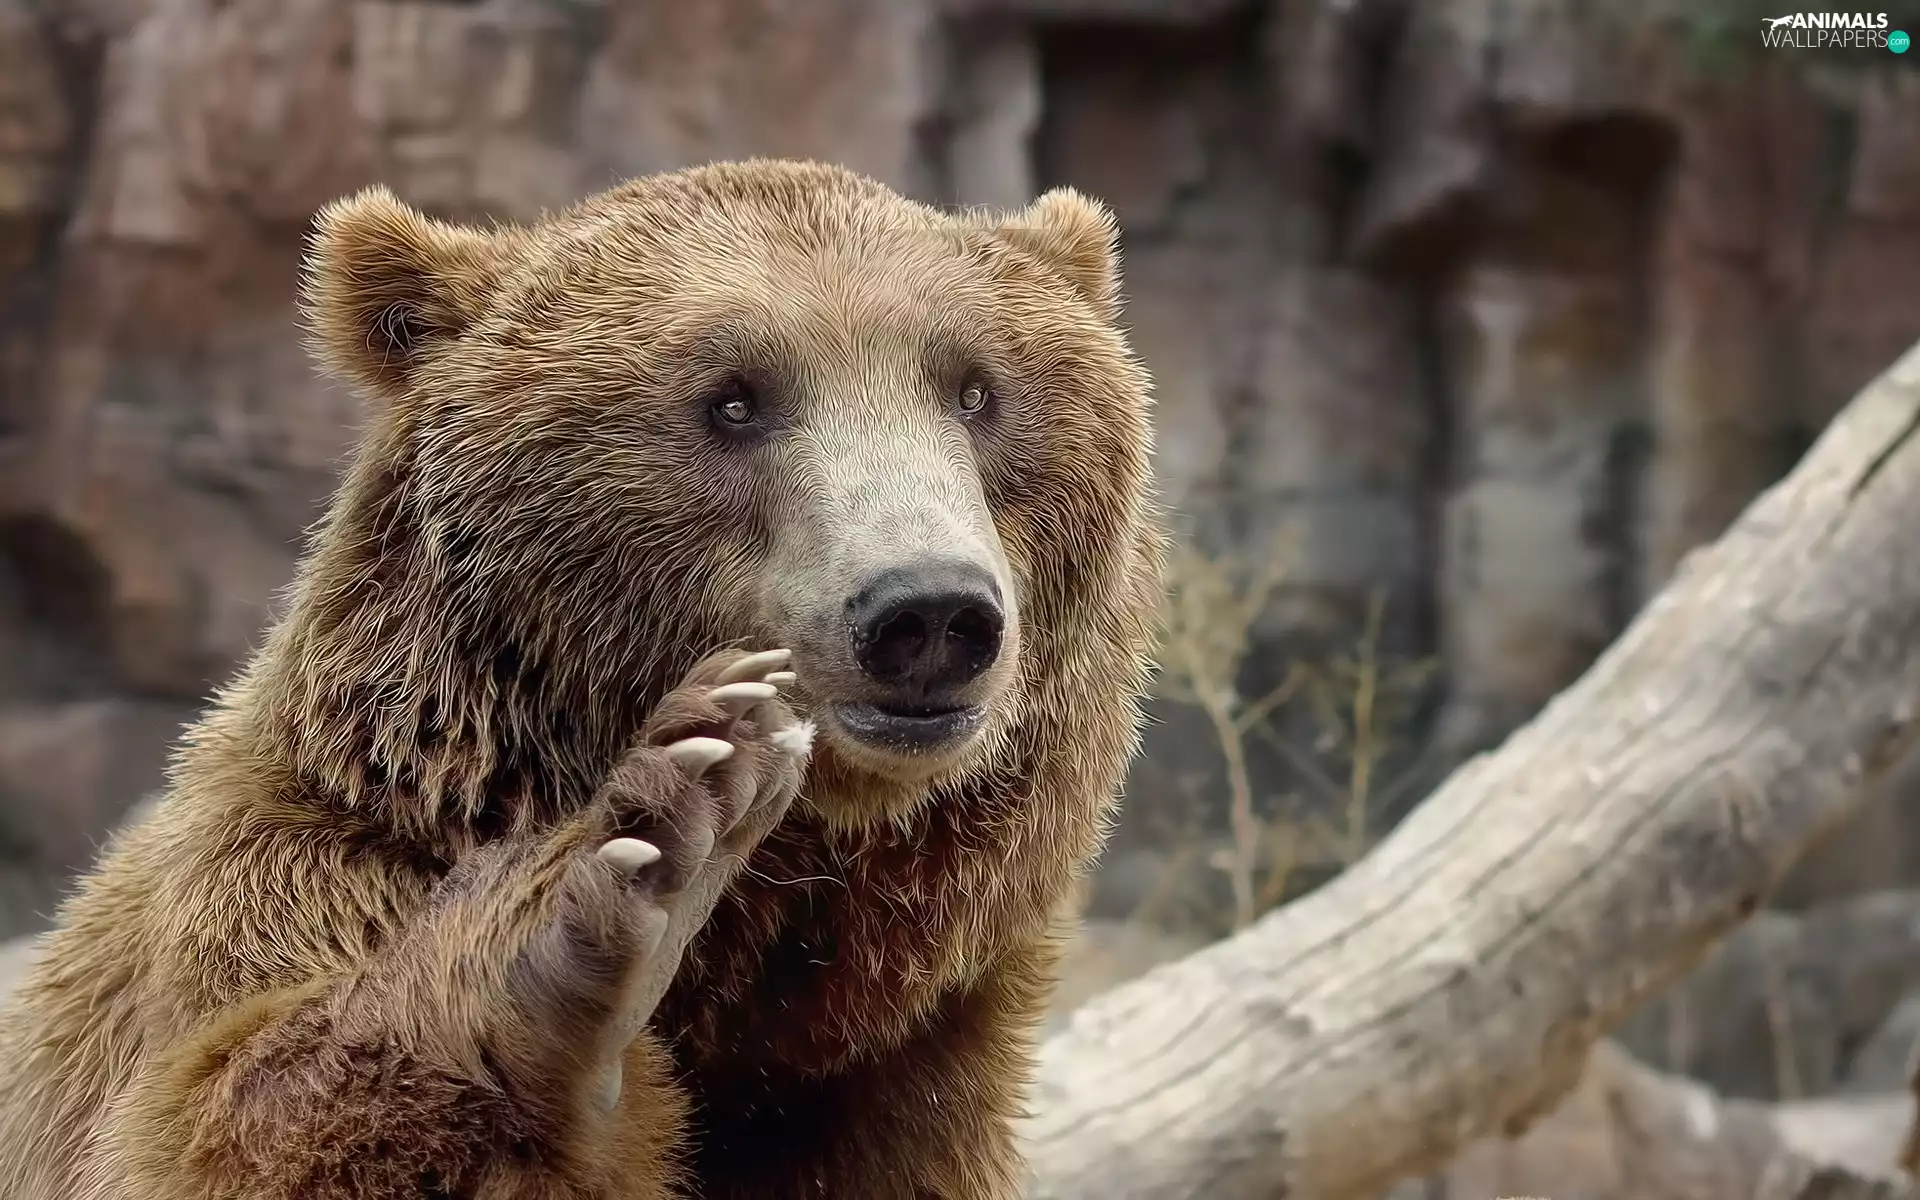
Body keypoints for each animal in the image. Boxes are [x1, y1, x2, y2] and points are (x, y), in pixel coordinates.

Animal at [0, 158, 1165, 1199]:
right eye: (732, 401)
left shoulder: (912, 1065)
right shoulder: (288, 879)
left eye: (975, 388)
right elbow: (225, 1124)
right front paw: (628, 877)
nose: (925, 612)